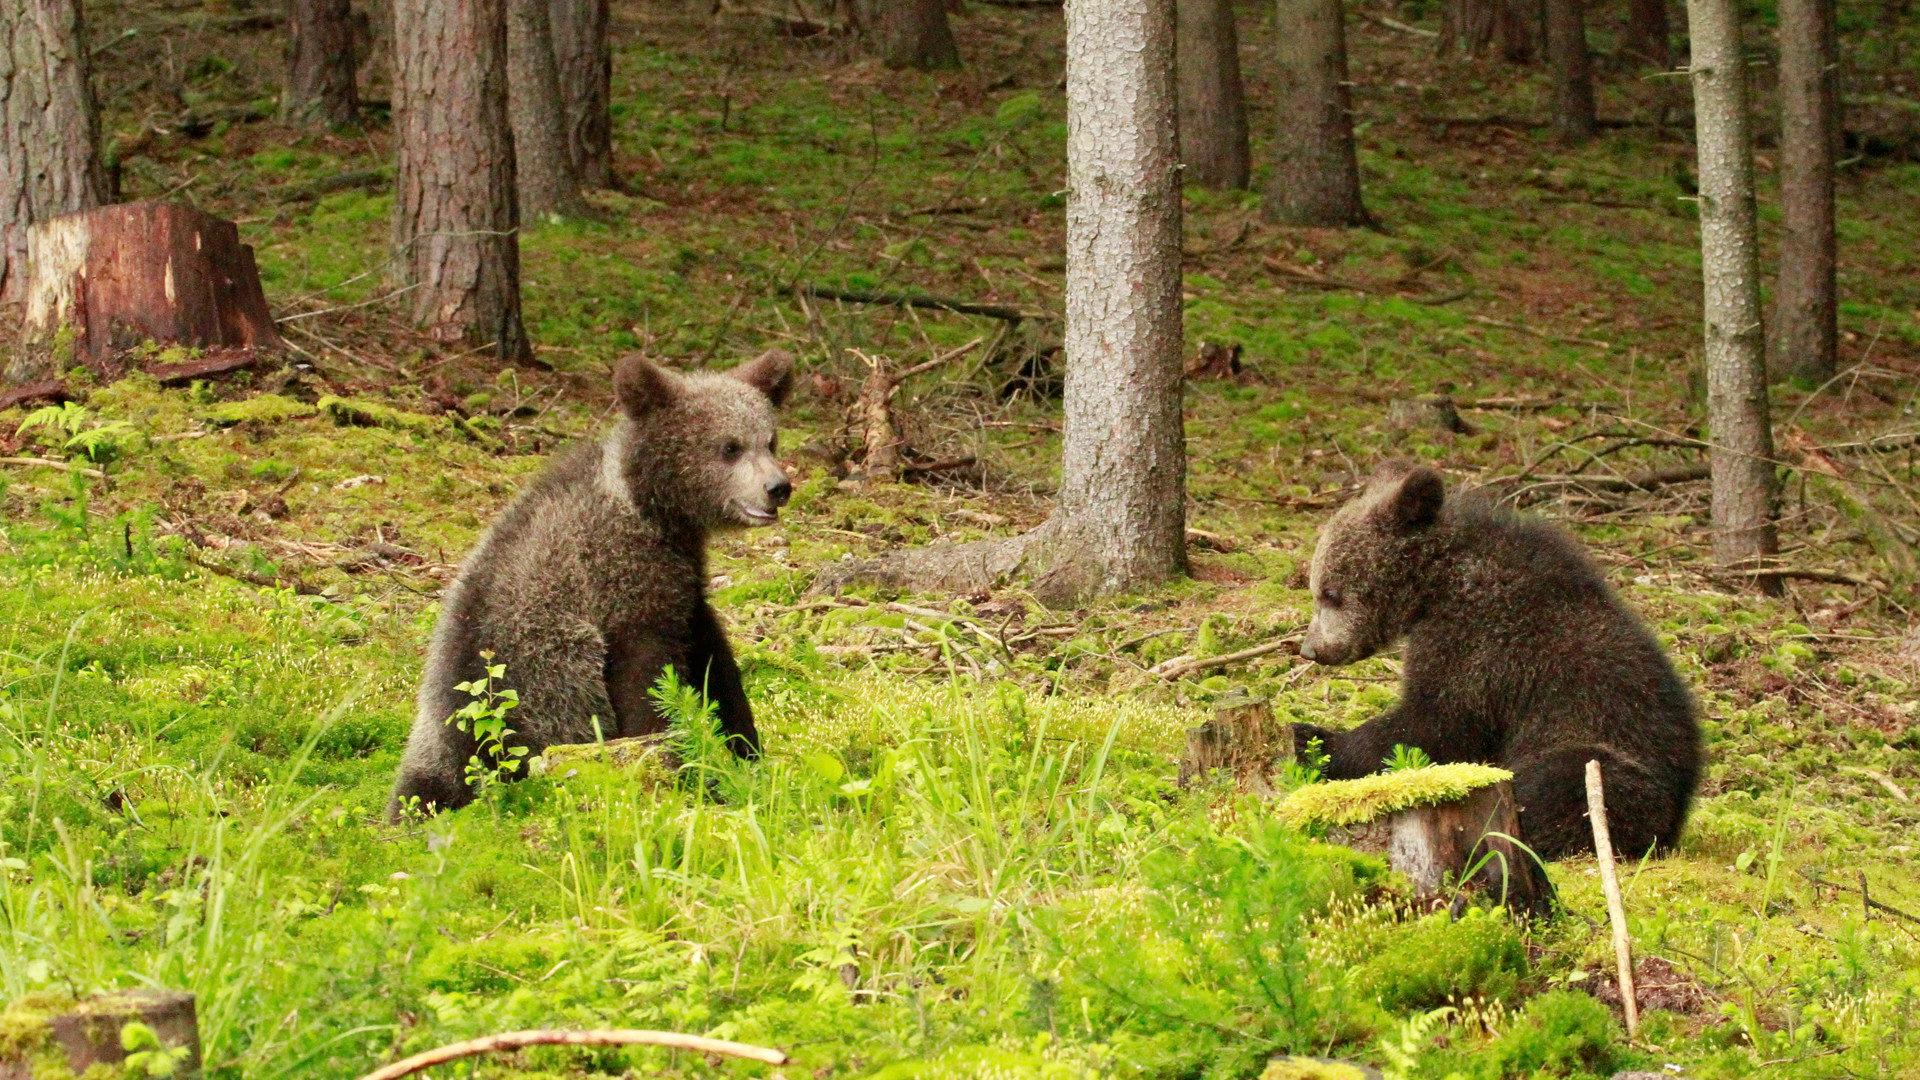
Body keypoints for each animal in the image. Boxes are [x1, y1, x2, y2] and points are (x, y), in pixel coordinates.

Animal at [388, 349, 796, 820]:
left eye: (770, 440)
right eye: (729, 447)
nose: (777, 487)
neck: (653, 510)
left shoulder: (681, 582)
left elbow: (715, 663)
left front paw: (745, 749)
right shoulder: (621, 585)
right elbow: (648, 682)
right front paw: (678, 761)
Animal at [1290, 460, 1702, 861]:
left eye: (1330, 592)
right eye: (1318, 589)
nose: (1311, 649)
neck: (1436, 585)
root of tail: (1677, 819)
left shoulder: (1482, 644)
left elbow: (1435, 722)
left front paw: (1316, 741)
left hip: (1610, 756)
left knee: (1561, 784)